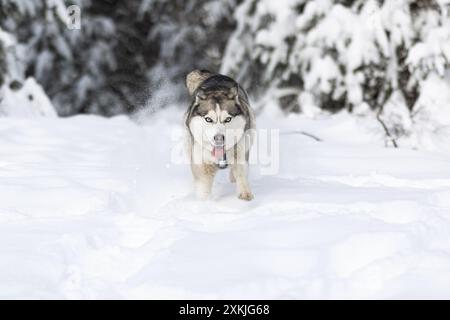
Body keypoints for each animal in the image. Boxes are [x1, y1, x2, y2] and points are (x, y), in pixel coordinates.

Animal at [185, 69, 255, 200]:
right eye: (208, 119)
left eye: (228, 119)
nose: (219, 138)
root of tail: (215, 75)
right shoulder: (202, 163)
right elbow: (203, 187)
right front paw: (206, 202)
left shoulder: (240, 151)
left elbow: (240, 171)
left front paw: (245, 193)